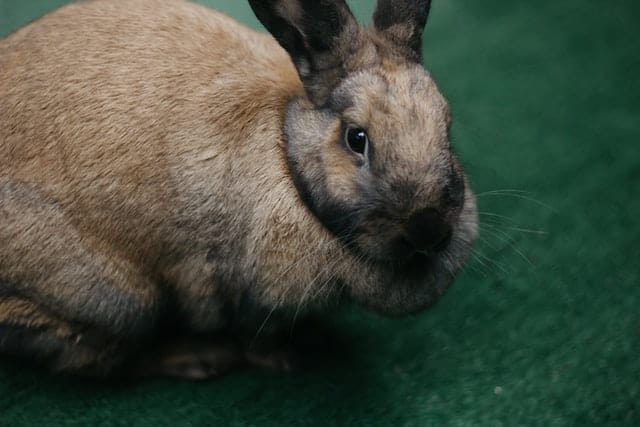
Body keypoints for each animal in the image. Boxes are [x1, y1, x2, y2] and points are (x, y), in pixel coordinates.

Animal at [0, 0, 478, 380]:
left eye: (447, 124)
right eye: (356, 138)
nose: (429, 228)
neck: (286, 157)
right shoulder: (237, 285)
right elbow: (256, 337)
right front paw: (285, 360)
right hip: (120, 299)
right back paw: (199, 360)